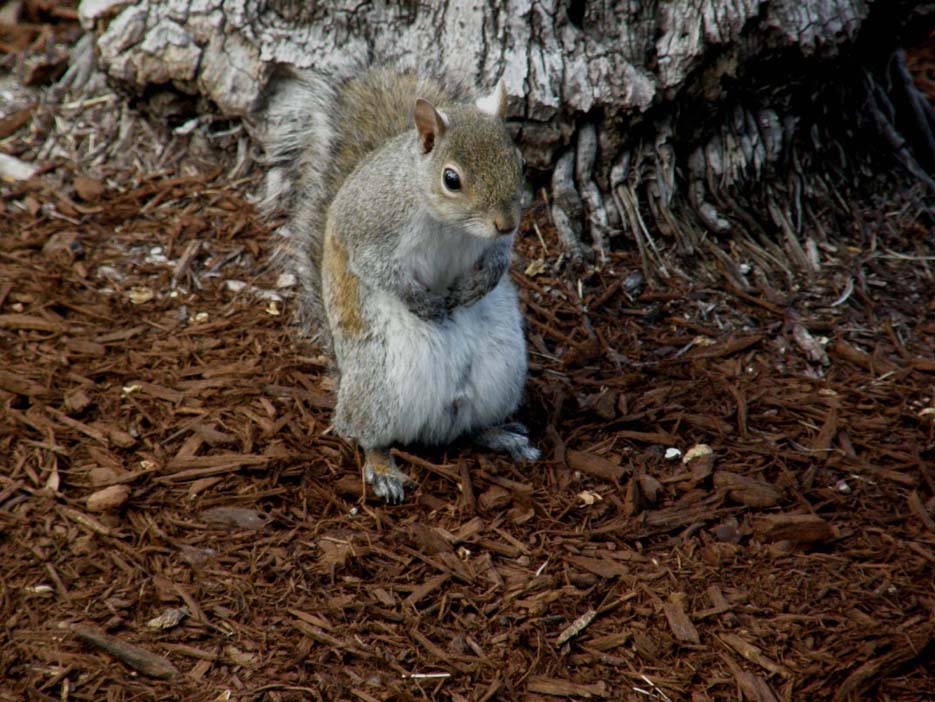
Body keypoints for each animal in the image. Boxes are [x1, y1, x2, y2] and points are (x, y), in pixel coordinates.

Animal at [264, 66, 540, 504]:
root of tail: (438, 424)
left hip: (504, 373)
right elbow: (377, 268)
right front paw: (424, 302)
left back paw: (501, 436)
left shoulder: (496, 242)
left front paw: (475, 286)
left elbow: (499, 258)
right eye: (451, 179)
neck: (446, 222)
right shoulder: (369, 228)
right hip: (378, 383)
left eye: (522, 163)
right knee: (363, 434)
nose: (506, 222)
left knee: (473, 426)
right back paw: (382, 468)